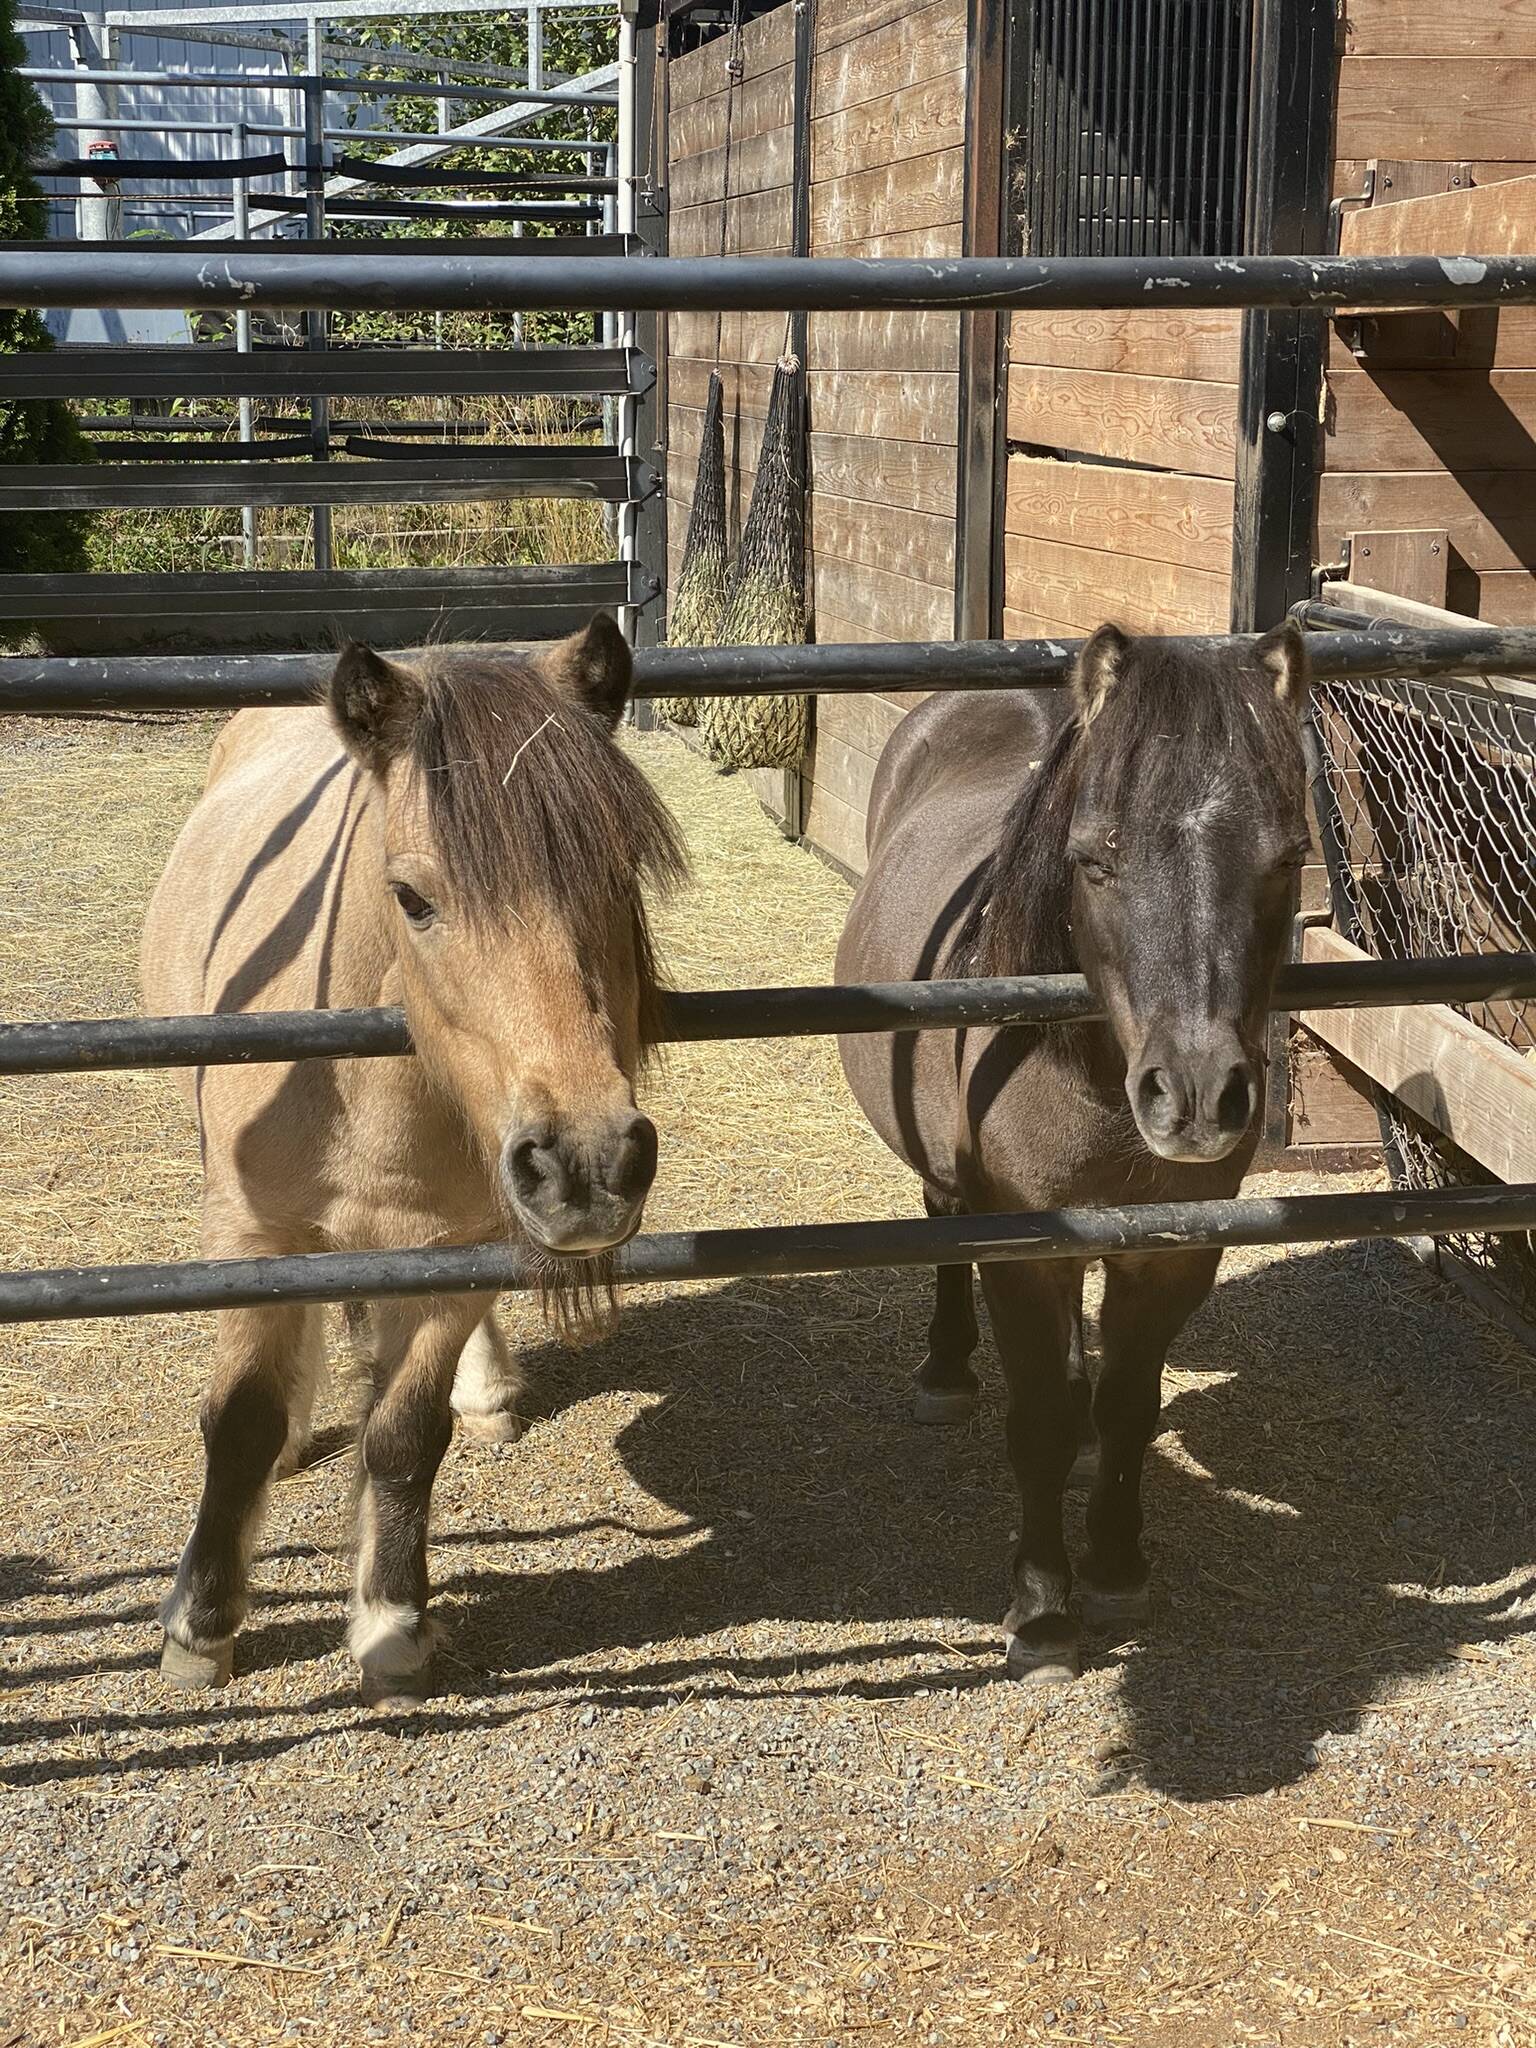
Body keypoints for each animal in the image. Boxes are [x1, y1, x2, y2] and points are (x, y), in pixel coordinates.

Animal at [141, 617, 685, 1705]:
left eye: (619, 875)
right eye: (412, 898)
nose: (588, 1164)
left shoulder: (458, 1250)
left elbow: (403, 1434)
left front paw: (392, 1620)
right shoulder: (253, 1235)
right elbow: (243, 1421)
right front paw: (203, 1625)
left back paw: (487, 1391)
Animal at [837, 621, 1311, 1684]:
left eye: (1287, 859)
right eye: (1095, 862)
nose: (1197, 1097)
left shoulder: (1172, 1253)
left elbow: (1130, 1406)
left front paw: (1118, 1567)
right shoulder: (1027, 1253)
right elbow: (1043, 1422)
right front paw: (1045, 1611)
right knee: (944, 1226)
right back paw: (946, 1374)